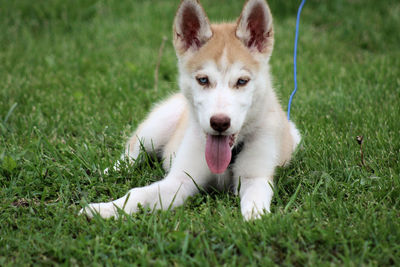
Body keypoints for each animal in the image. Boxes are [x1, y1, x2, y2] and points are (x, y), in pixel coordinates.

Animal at [80, 0, 300, 222]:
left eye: (242, 81)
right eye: (203, 80)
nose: (219, 122)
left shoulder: (256, 177)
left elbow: (256, 201)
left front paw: (255, 219)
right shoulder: (181, 180)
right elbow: (137, 193)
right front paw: (103, 209)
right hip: (156, 127)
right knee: (131, 152)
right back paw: (108, 171)